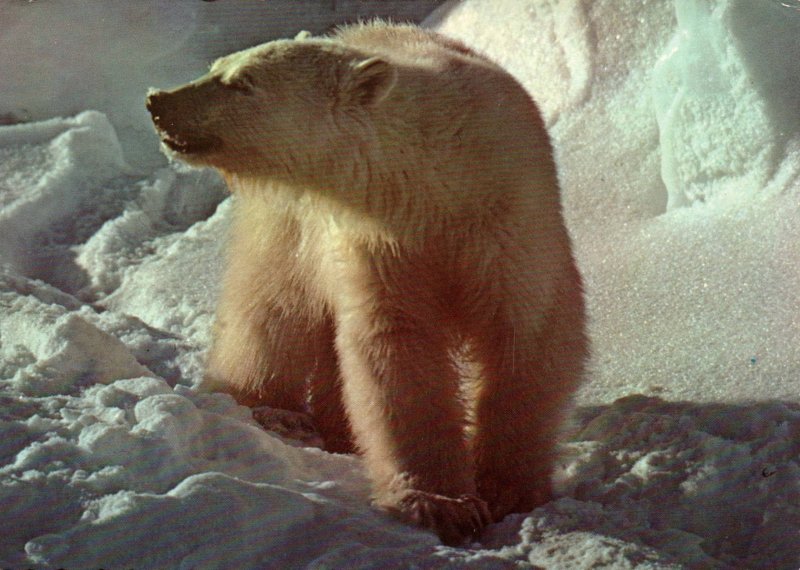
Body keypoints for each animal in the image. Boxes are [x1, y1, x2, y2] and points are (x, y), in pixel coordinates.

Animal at [148, 22, 588, 544]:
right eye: (216, 66)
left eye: (242, 81)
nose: (159, 101)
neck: (434, 178)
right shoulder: (376, 239)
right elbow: (395, 346)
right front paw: (439, 504)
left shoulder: (505, 220)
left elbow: (529, 335)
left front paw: (510, 491)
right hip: (288, 223)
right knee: (272, 306)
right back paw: (268, 411)